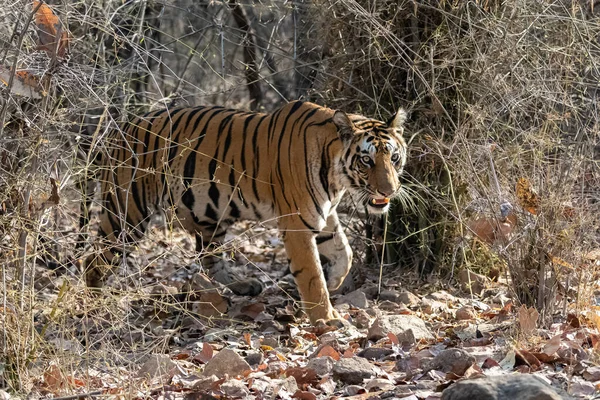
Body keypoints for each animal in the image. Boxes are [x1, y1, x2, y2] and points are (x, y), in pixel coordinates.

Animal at [83, 100, 408, 324]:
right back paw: (94, 305)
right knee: (94, 259)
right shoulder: (298, 223)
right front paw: (326, 317)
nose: (389, 190)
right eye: (366, 161)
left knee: (209, 258)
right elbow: (312, 274)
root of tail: (120, 129)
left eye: (394, 157)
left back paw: (243, 285)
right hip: (127, 213)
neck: (336, 177)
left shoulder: (324, 214)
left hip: (209, 214)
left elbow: (345, 253)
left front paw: (335, 282)